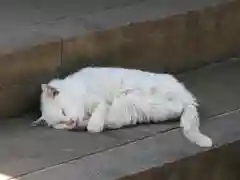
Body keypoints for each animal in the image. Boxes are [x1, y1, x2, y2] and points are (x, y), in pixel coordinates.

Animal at [31, 67, 212, 147]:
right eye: (59, 124)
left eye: (63, 111)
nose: (69, 123)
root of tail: (190, 99)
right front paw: (83, 124)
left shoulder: (97, 100)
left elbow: (97, 117)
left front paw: (93, 124)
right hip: (133, 109)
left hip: (134, 97)